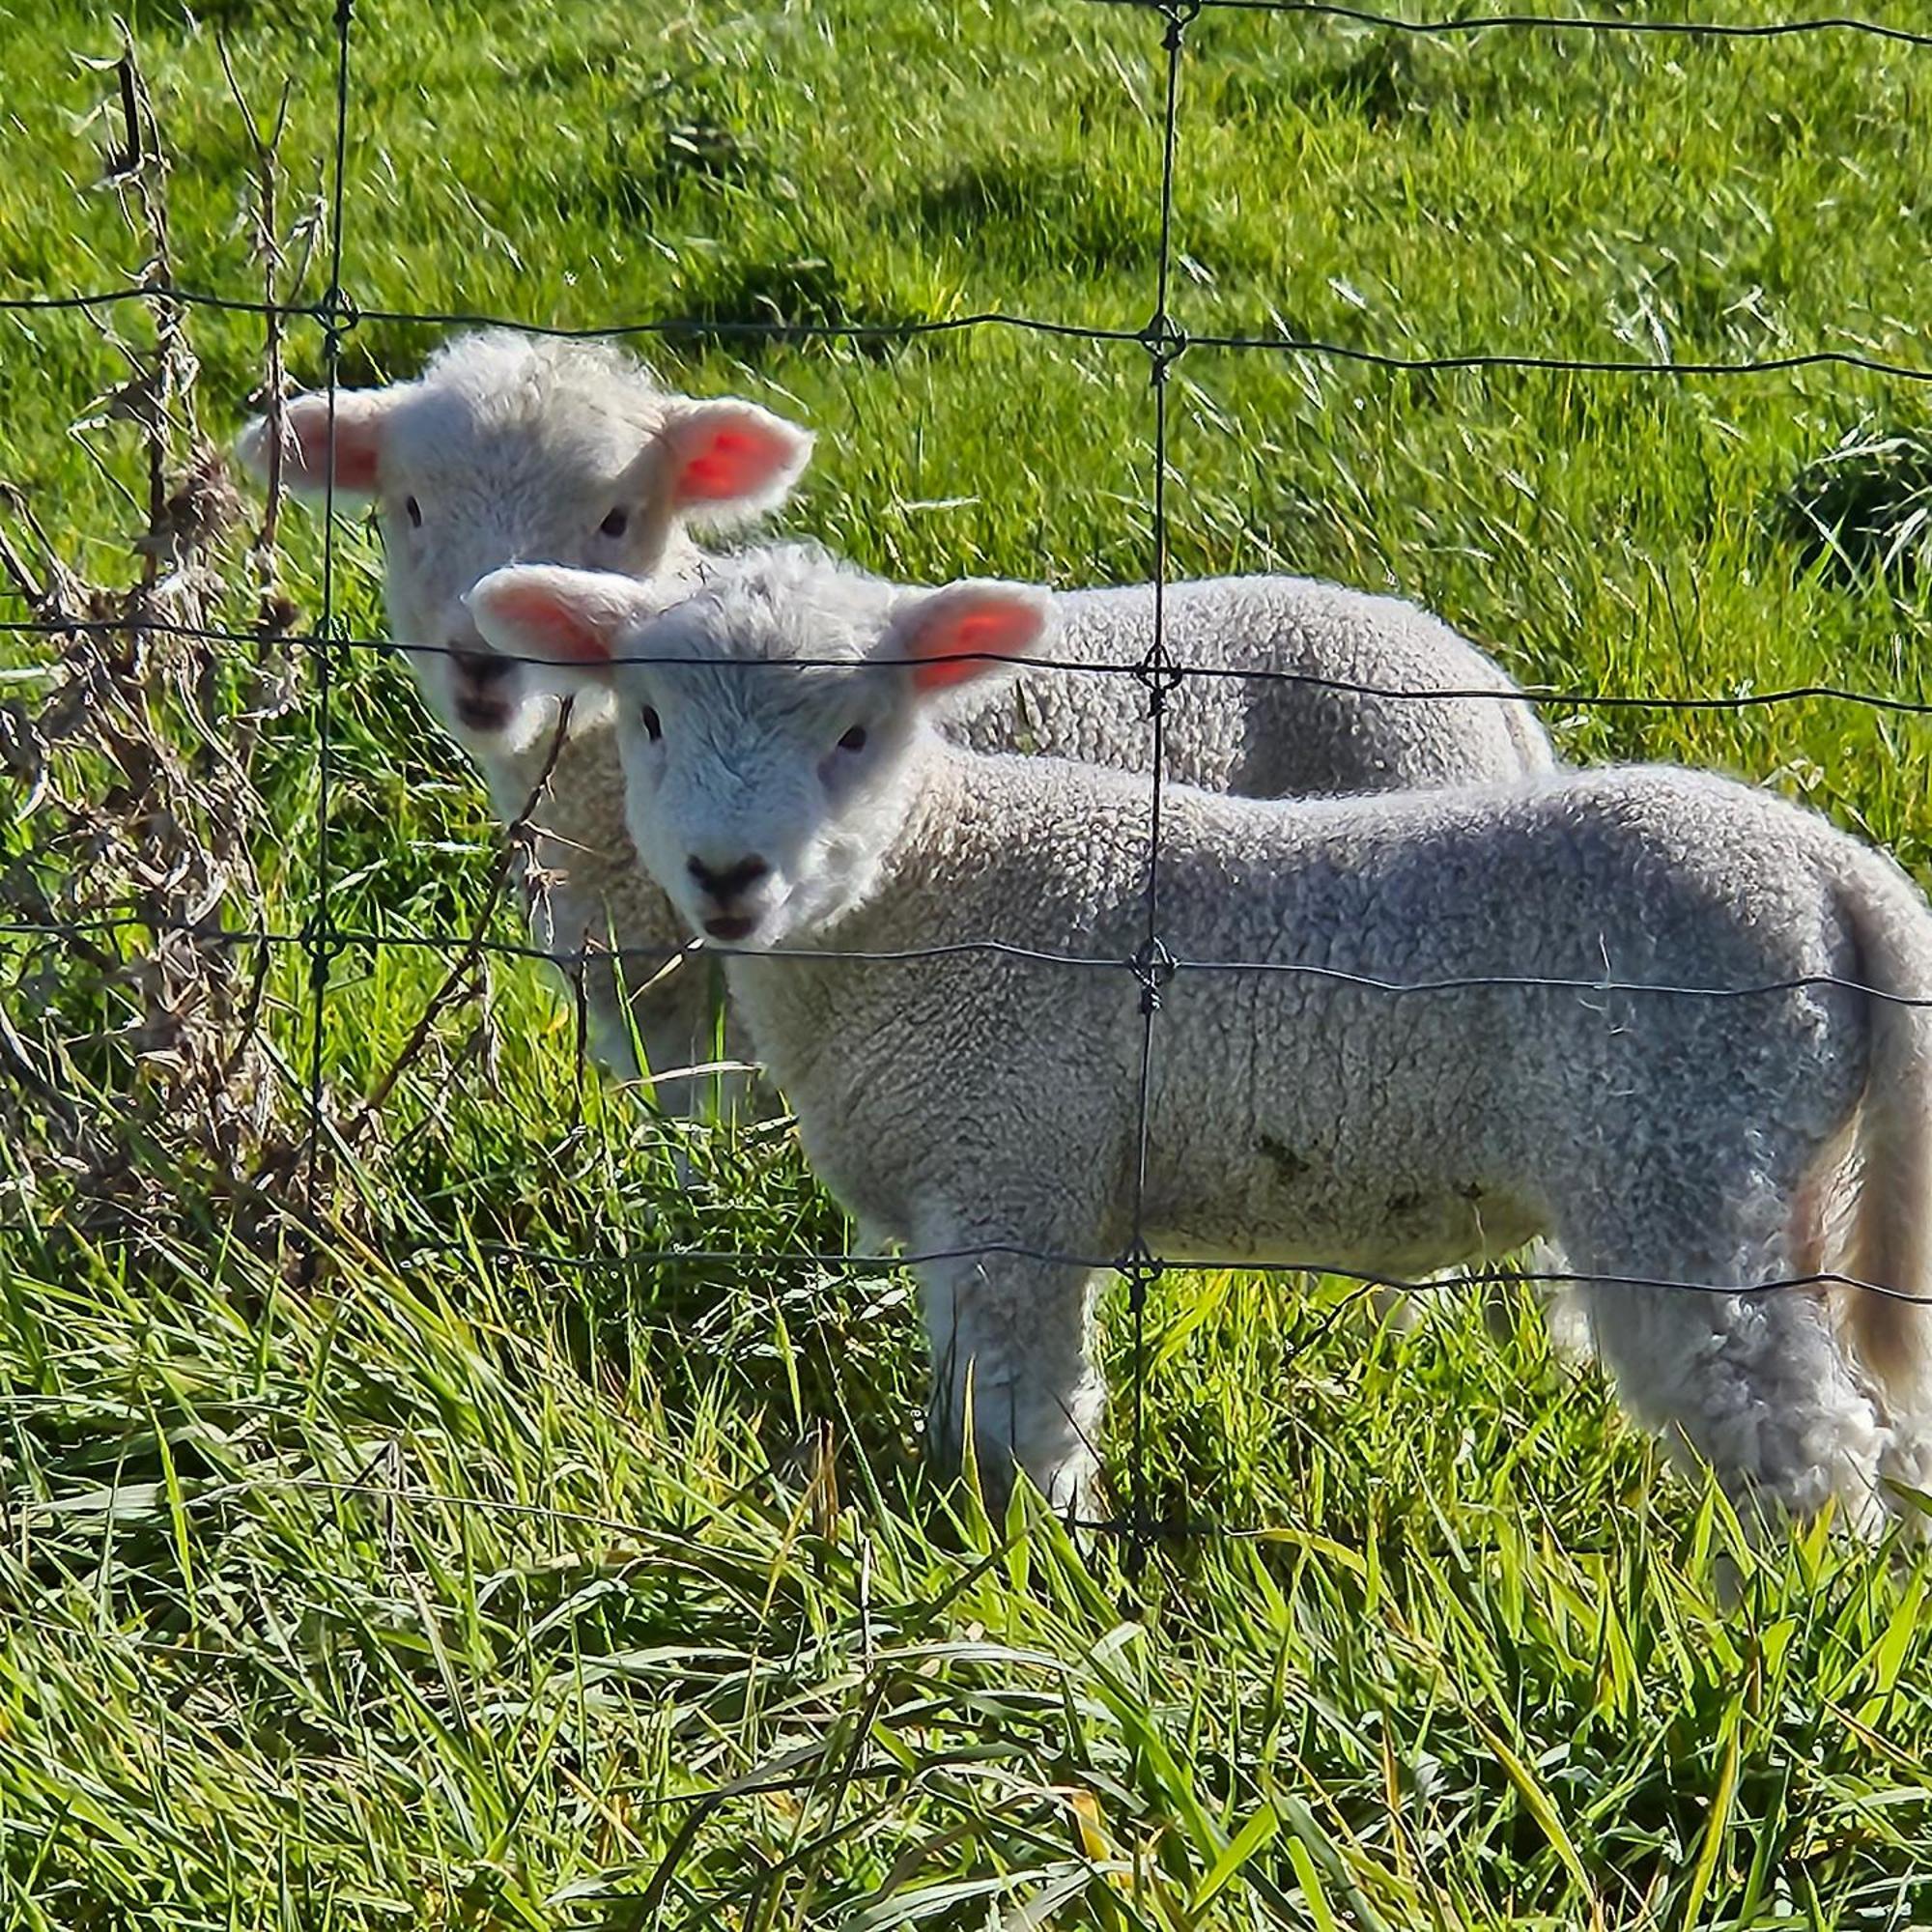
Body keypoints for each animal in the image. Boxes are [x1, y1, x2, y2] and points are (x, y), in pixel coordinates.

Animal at [238, 325, 1553, 1128]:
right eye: (407, 506)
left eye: (617, 515)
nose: (481, 657)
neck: (591, 786)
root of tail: (1486, 690)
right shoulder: (639, 991)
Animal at [468, 549, 1932, 1538]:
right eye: (648, 720)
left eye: (856, 731)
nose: (726, 876)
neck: (927, 886)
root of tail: (1837, 873)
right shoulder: (966, 1189)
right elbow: (964, 1396)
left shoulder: (1015, 1176)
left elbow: (1025, 1416)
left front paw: (1032, 1565)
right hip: (1784, 1169)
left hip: (1681, 1148)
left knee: (1794, 1439)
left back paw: (1774, 1630)